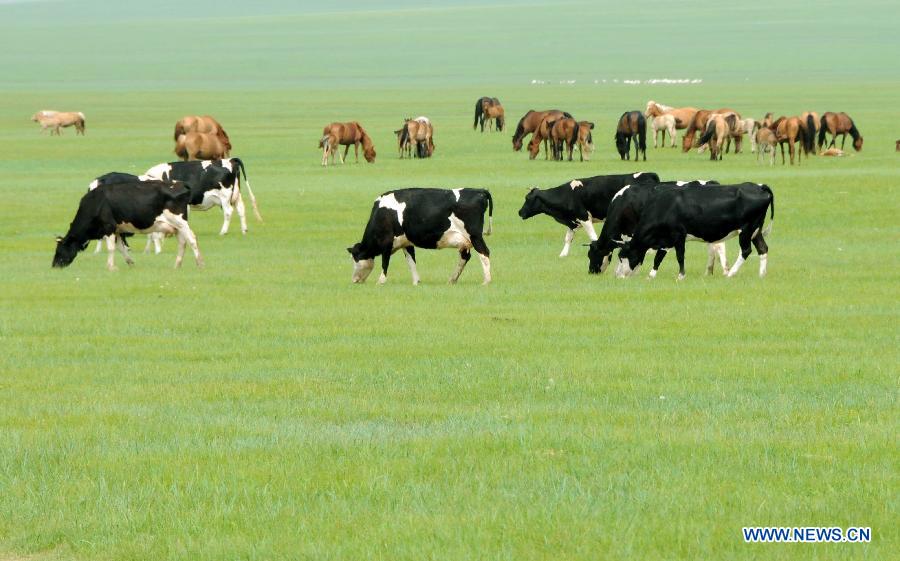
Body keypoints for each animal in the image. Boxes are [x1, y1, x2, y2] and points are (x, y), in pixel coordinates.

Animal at [52, 180, 204, 270]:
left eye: (59, 250)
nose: (54, 266)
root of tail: (181, 184)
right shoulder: (118, 229)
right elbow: (121, 247)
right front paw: (130, 263)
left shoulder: (109, 227)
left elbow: (111, 248)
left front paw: (110, 267)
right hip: (177, 226)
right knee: (182, 242)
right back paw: (177, 265)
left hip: (180, 221)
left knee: (191, 238)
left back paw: (200, 263)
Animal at [348, 188, 496, 284]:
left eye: (354, 259)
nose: (354, 280)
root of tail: (479, 190)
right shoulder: (406, 243)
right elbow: (411, 262)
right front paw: (416, 282)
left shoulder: (387, 242)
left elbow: (385, 262)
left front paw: (381, 281)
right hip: (465, 240)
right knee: (465, 257)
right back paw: (452, 280)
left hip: (474, 236)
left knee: (484, 253)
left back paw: (486, 281)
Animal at [516, 172, 656, 258]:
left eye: (527, 198)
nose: (519, 212)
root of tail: (649, 174)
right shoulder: (572, 221)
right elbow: (568, 238)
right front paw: (563, 255)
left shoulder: (583, 217)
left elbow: (593, 237)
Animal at [588, 179, 728, 276]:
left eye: (592, 255)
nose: (591, 272)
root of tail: (712, 183)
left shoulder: (632, 234)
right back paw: (709, 272)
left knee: (718, 247)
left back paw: (724, 271)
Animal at [612, 184, 772, 280]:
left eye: (622, 256)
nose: (618, 275)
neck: (666, 205)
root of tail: (760, 187)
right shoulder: (666, 239)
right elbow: (659, 257)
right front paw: (651, 276)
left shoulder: (678, 235)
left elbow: (680, 256)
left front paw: (681, 276)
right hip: (756, 231)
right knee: (763, 249)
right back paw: (762, 275)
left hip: (747, 230)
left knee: (746, 250)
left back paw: (731, 273)